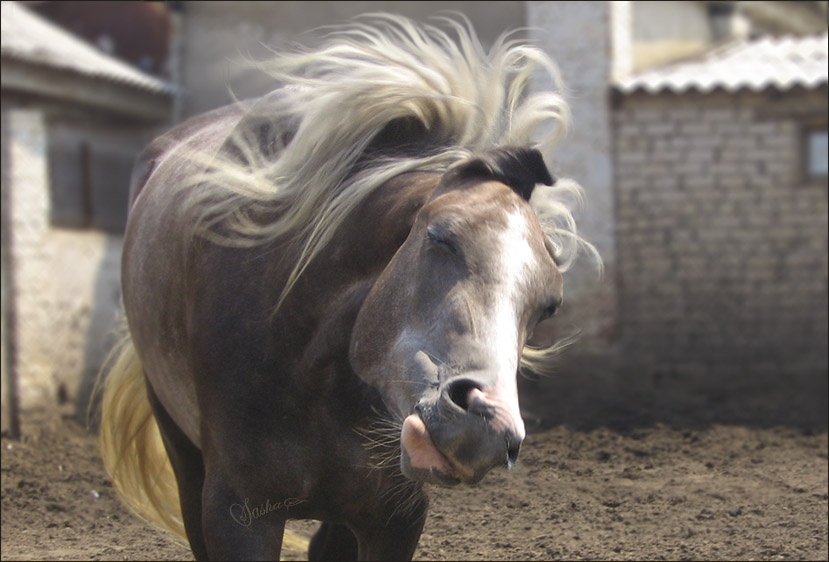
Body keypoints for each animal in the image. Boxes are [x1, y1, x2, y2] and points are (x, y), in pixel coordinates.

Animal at [98, 14, 599, 561]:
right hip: (183, 456)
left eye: (548, 306)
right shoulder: (238, 513)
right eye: (440, 236)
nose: (485, 427)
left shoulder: (394, 520)